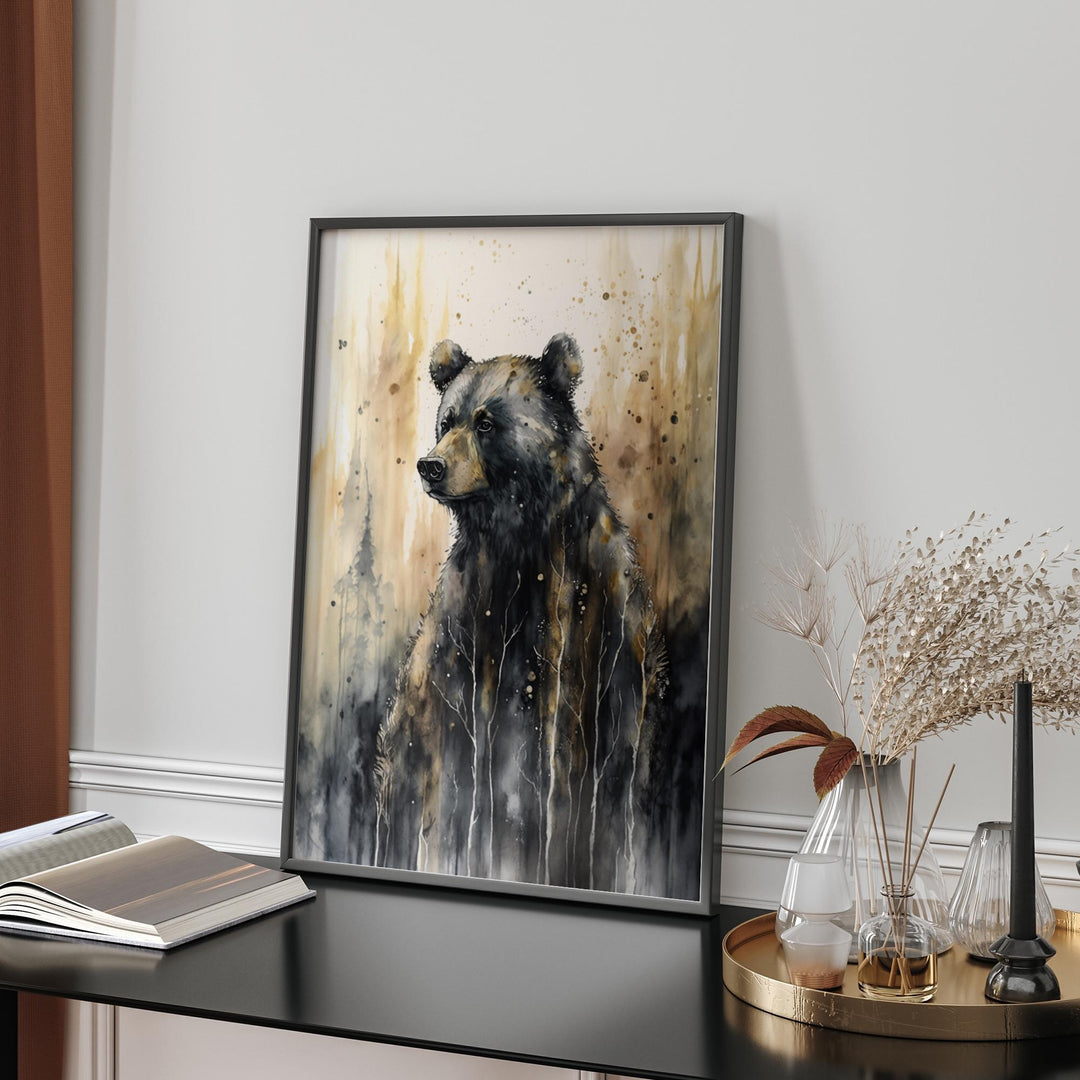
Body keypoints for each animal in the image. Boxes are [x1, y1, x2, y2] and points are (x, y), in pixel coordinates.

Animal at [375, 333, 670, 895]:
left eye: (487, 422)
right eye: (447, 420)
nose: (430, 466)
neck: (522, 534)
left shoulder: (606, 631)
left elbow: (613, 769)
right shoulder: (476, 635)